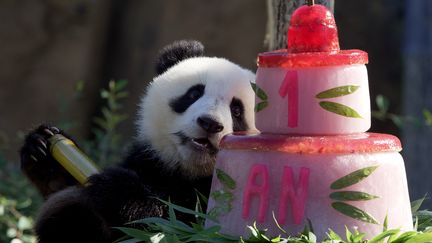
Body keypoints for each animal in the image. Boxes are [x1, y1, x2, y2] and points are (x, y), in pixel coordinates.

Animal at [20, 40, 256, 243]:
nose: (209, 123)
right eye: (194, 93)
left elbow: (177, 227)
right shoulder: (149, 162)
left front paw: (118, 190)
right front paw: (43, 151)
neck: (188, 172)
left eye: (237, 111)